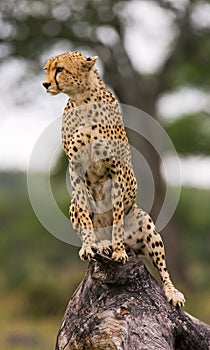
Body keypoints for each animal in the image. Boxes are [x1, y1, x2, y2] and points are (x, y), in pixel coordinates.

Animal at [42, 50, 185, 308]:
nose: (45, 84)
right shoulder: (75, 169)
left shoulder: (116, 170)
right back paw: (101, 243)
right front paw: (89, 246)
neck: (82, 101)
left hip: (146, 224)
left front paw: (118, 251)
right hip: (72, 205)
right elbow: (86, 215)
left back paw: (171, 291)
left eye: (59, 69)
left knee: (162, 268)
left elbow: (117, 216)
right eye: (46, 69)